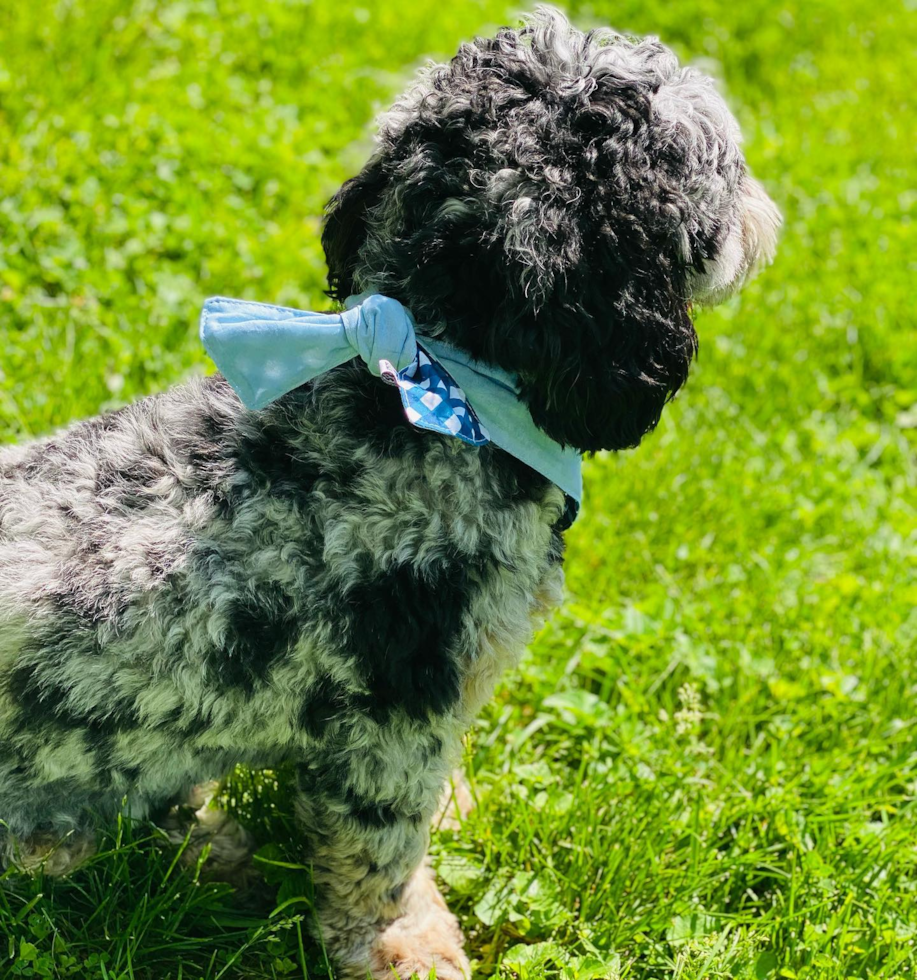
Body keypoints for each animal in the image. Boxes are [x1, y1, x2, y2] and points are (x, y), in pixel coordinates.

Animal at [0, 9, 780, 980]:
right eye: (725, 164)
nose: (767, 212)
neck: (431, 396)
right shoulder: (390, 725)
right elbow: (379, 862)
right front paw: (407, 942)